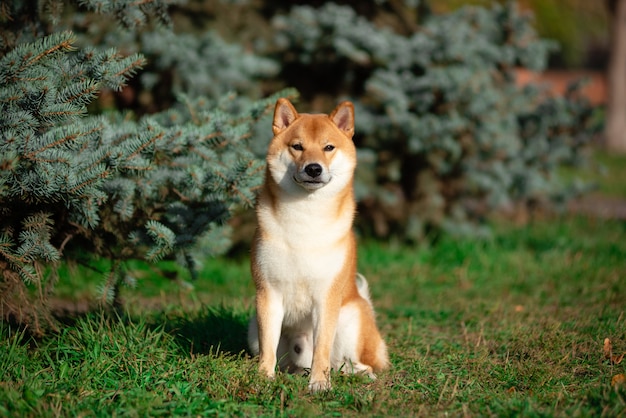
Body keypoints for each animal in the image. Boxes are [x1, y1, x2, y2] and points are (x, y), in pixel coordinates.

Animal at [246, 98, 388, 392]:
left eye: (328, 147)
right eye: (297, 146)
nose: (313, 168)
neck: (305, 217)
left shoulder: (327, 297)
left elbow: (322, 347)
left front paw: (320, 384)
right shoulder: (268, 294)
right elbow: (268, 347)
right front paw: (264, 377)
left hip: (351, 319)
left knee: (351, 362)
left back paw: (356, 374)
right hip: (253, 325)